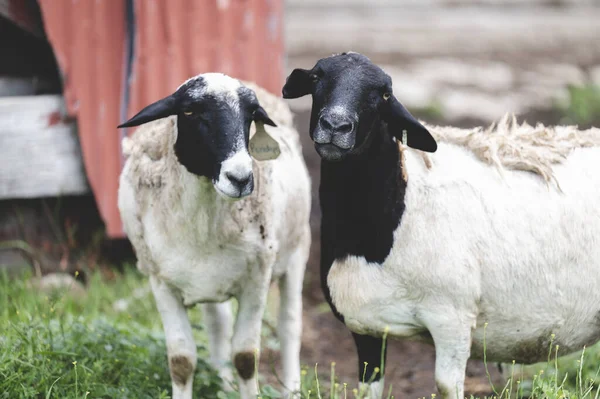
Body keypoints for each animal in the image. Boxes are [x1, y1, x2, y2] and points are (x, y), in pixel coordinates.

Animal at [118, 73, 314, 399]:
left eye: (251, 115)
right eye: (189, 111)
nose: (241, 178)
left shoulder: (256, 280)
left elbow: (246, 358)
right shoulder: (162, 283)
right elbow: (181, 361)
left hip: (297, 250)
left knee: (290, 324)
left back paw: (292, 389)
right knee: (218, 324)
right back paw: (224, 384)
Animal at [282, 52, 600, 399]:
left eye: (384, 94)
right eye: (316, 78)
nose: (335, 125)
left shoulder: (453, 320)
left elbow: (447, 385)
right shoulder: (364, 327)